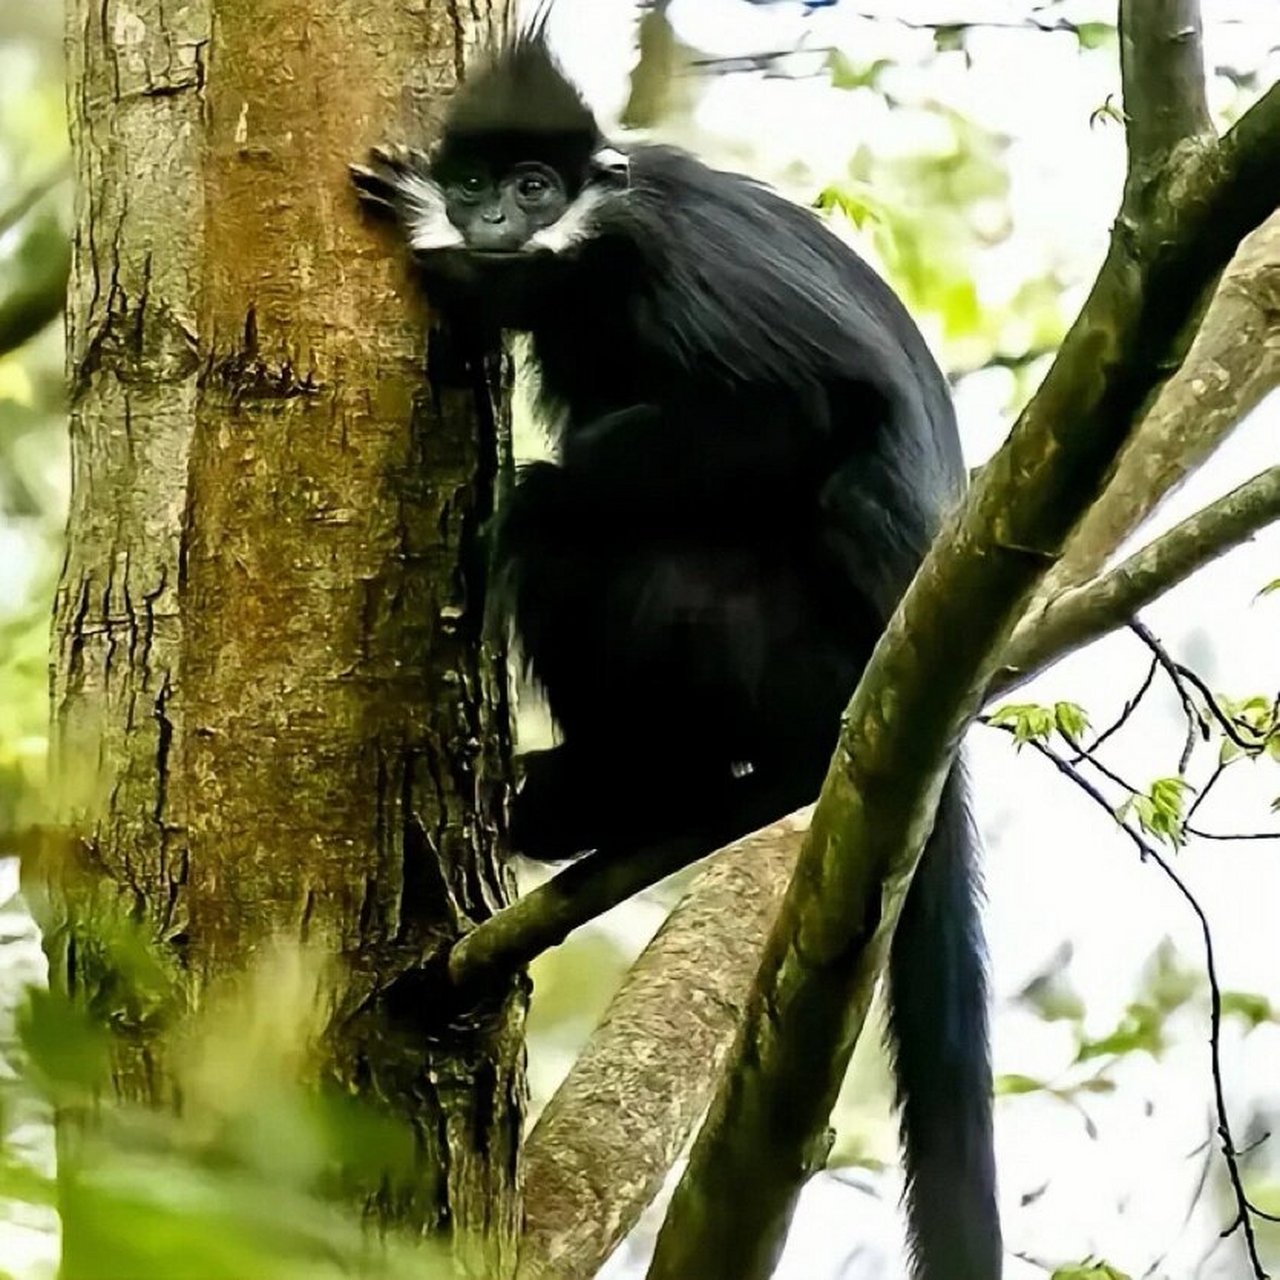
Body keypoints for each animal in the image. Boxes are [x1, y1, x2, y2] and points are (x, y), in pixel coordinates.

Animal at [355, 30, 1003, 1280]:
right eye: (479, 181)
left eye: (535, 187)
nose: (493, 221)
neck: (591, 255)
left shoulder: (672, 260)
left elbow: (817, 402)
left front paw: (468, 297)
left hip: (764, 645)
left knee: (587, 531)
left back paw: (634, 780)